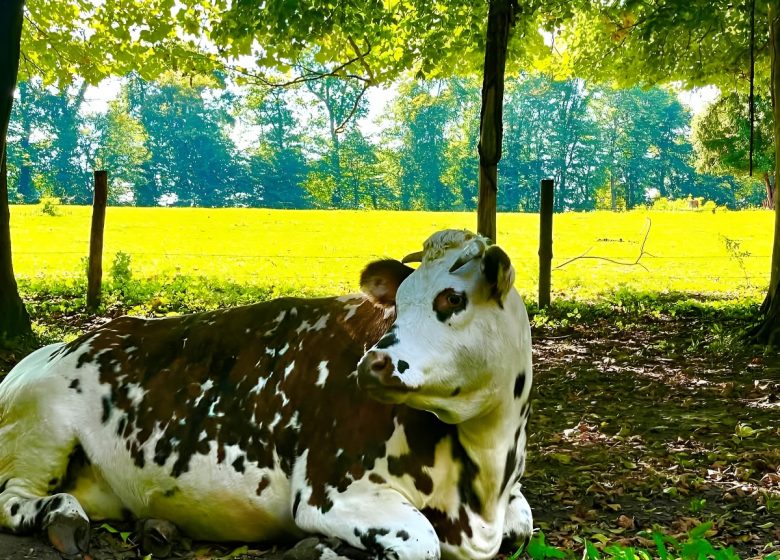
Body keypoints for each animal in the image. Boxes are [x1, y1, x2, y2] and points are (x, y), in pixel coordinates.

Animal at [0, 229, 533, 560]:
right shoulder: (329, 493)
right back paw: (63, 518)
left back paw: (156, 528)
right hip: (44, 430)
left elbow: (524, 523)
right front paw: (319, 550)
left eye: (452, 298)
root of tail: (60, 344)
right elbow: (421, 541)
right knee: (13, 500)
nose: (373, 362)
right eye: (398, 305)